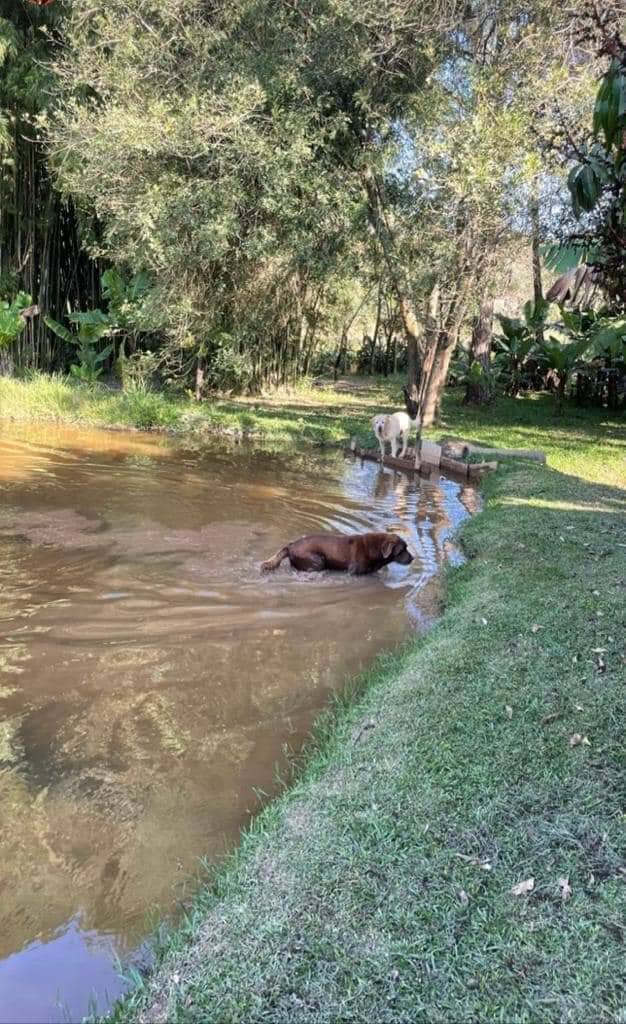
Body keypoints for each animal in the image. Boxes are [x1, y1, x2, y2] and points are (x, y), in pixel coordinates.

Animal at [261, 536, 413, 577]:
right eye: (402, 550)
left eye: (407, 547)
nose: (412, 558)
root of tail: (290, 545)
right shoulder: (353, 573)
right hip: (318, 561)